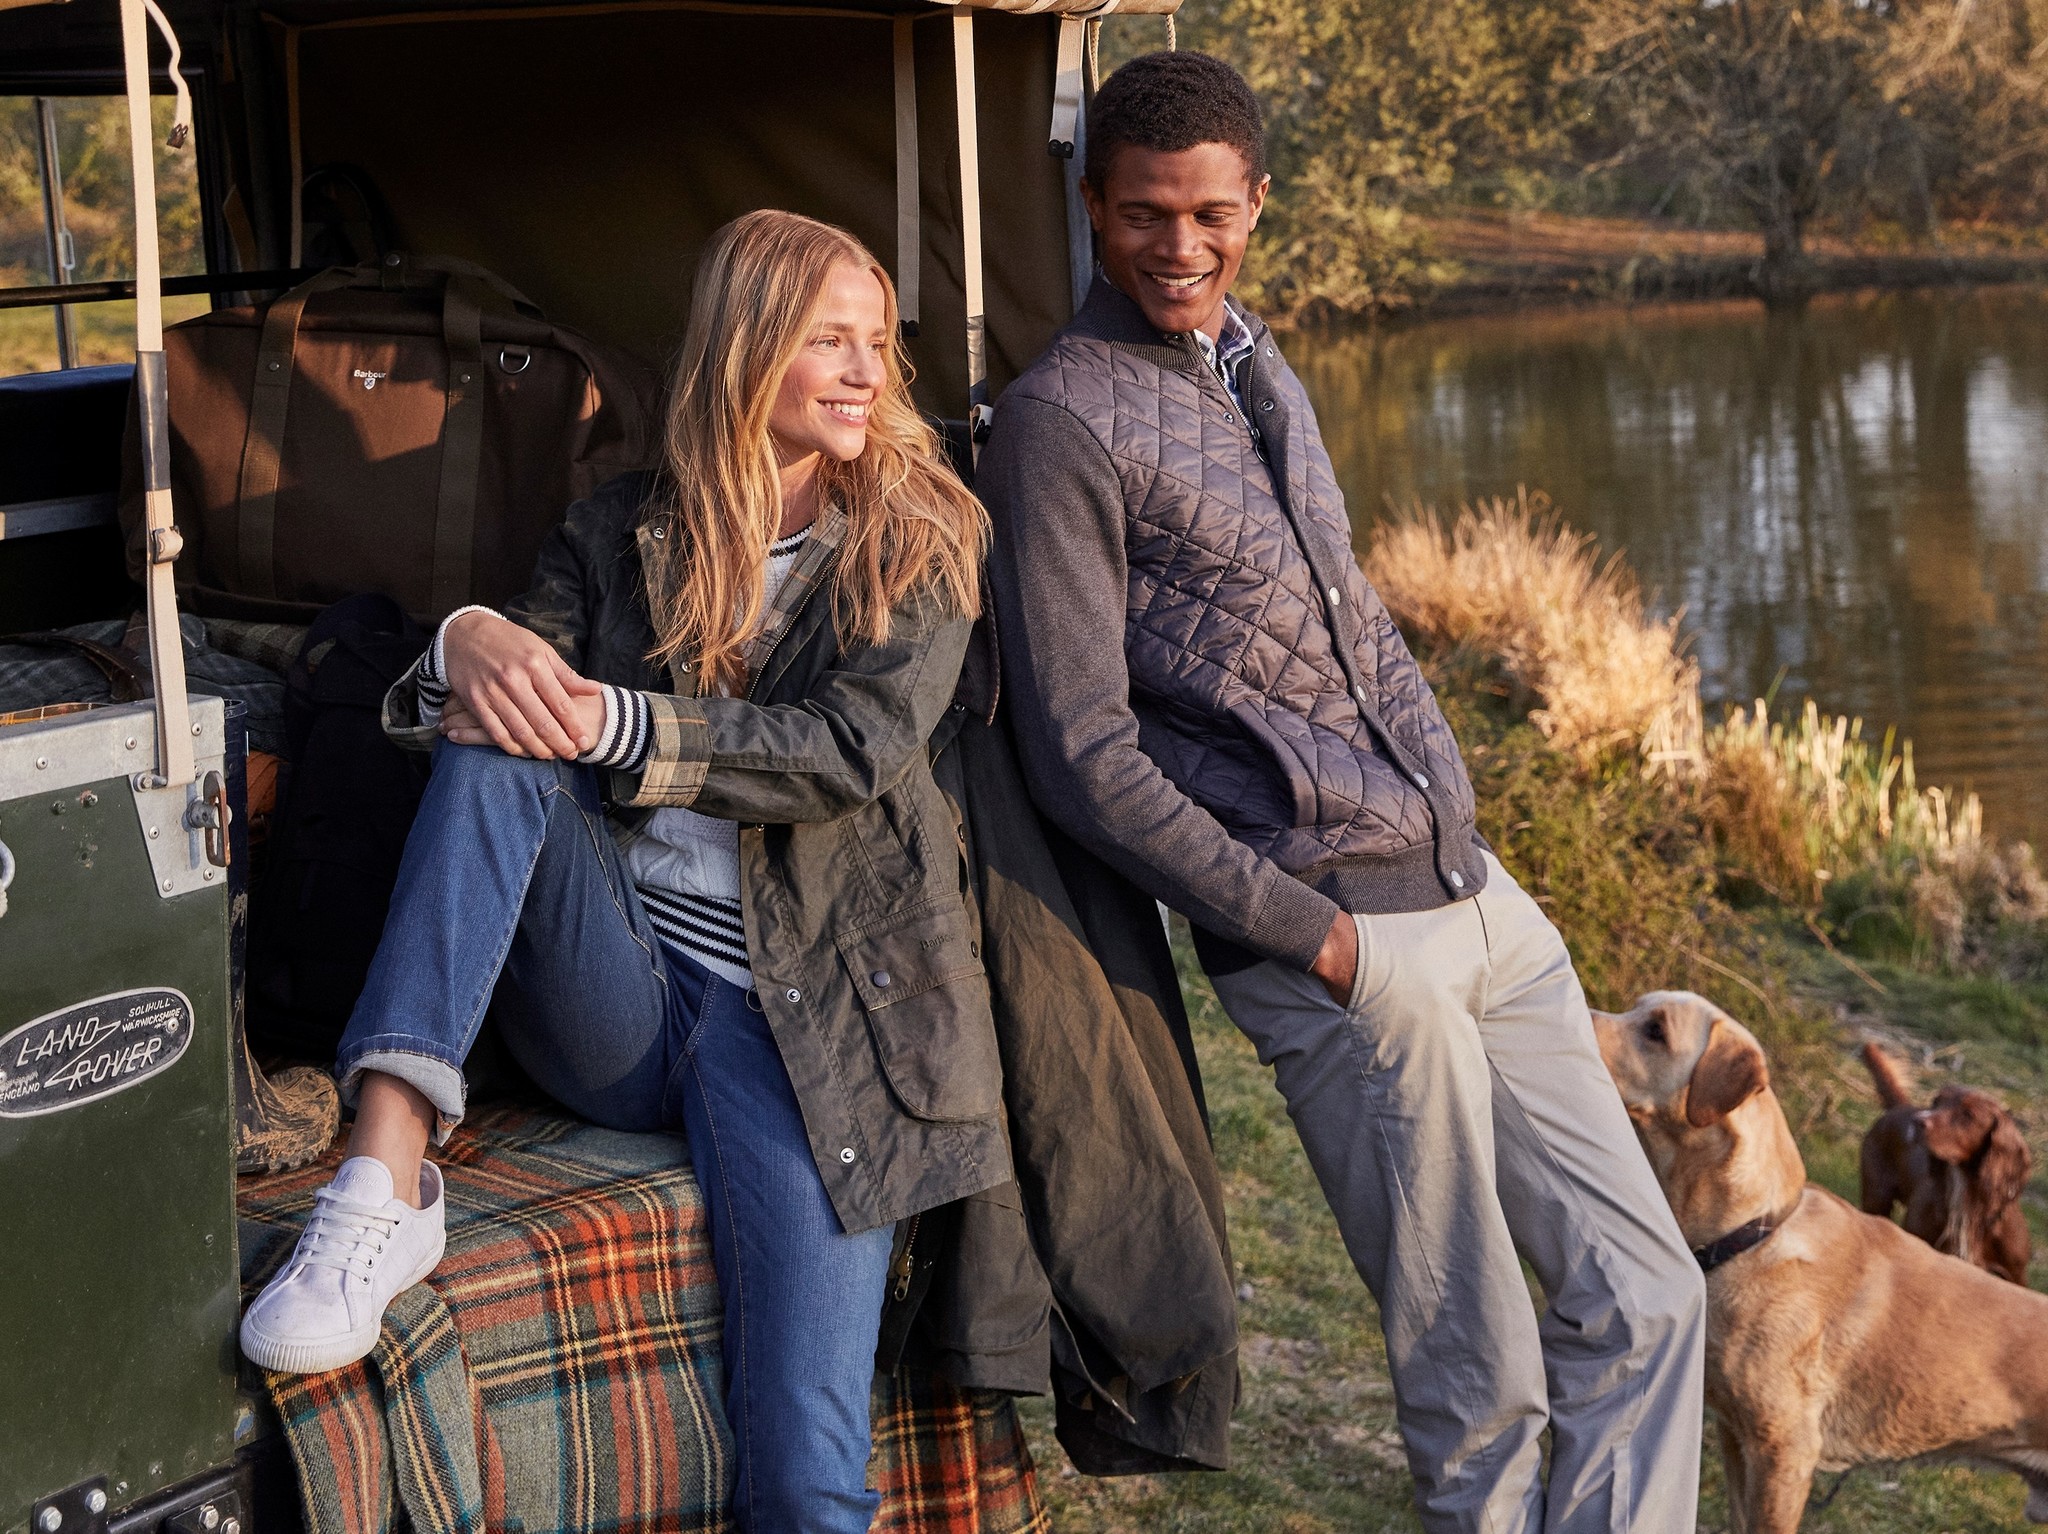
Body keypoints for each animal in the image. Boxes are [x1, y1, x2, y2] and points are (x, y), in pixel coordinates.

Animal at [1859, 1040, 2031, 1277]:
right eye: (1936, 1102)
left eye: (1968, 1115)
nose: (1916, 1121)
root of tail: (1901, 1107)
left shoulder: (2014, 1274)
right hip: (1876, 1198)